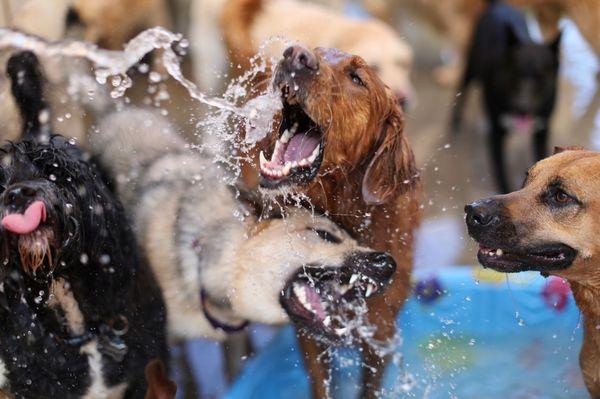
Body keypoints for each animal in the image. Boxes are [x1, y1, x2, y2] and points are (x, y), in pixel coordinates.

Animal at [452, 0, 560, 194]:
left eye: (540, 77)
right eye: (516, 73)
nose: (522, 107)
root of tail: (499, 4)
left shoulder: (542, 130)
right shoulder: (497, 133)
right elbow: (500, 169)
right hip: (472, 66)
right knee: (463, 89)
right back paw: (455, 121)